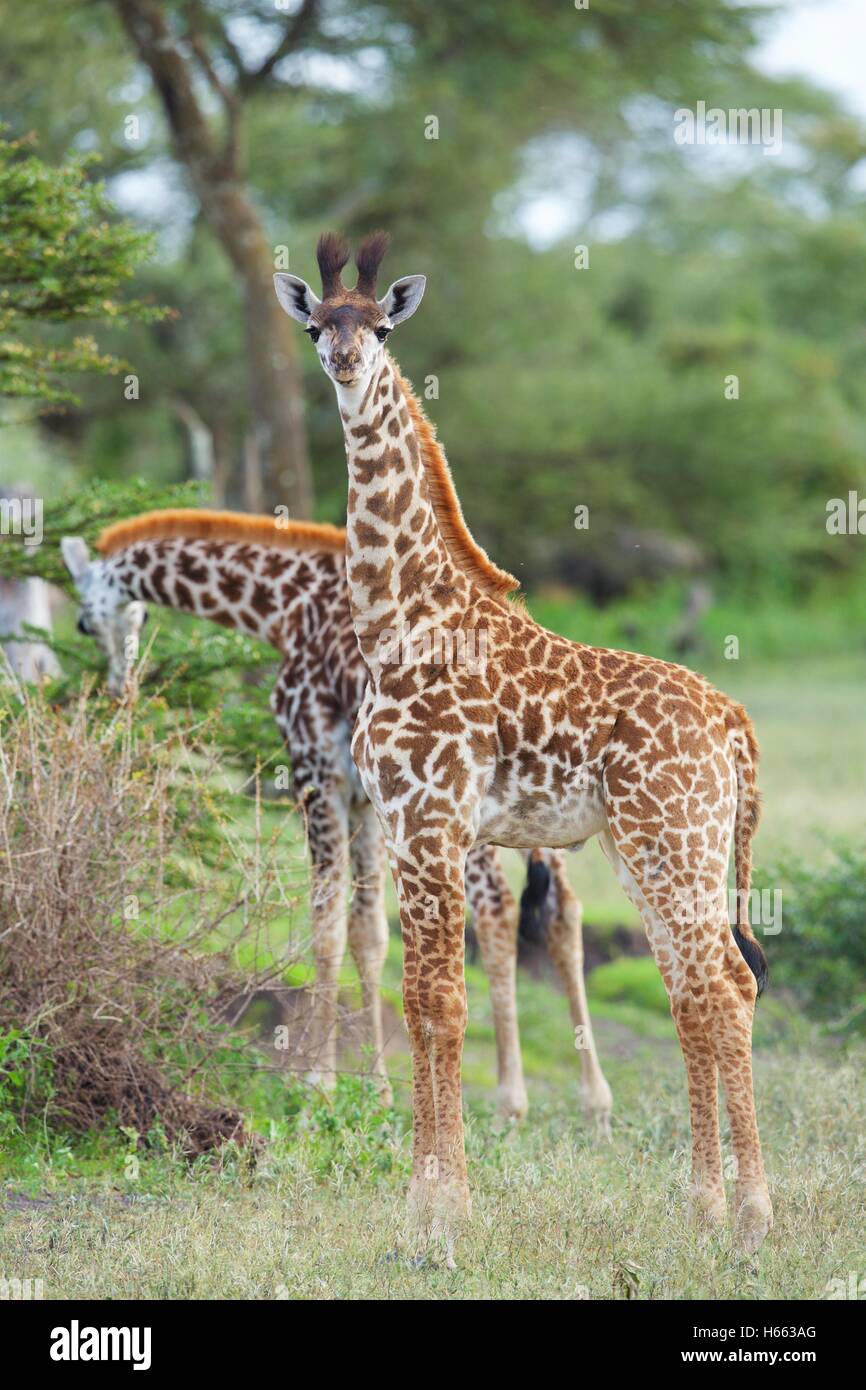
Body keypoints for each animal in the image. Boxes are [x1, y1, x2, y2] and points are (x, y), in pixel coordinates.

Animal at [61, 517, 614, 1123]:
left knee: (497, 904)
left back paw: (512, 1098)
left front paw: (317, 1085)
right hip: (543, 801)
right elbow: (369, 933)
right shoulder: (366, 799)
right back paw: (594, 1101)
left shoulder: (317, 771)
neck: (286, 607)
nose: (122, 689)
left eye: (85, 622)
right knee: (563, 907)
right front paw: (377, 1089)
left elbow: (325, 924)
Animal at [276, 236, 772, 1262]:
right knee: (693, 992)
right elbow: (420, 999)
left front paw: (442, 1213)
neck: (401, 621)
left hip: (676, 842)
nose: (344, 361)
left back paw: (751, 1218)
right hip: (649, 849)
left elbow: (442, 1001)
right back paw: (703, 1209)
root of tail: (734, 721)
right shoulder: (405, 821)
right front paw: (423, 1204)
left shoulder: (433, 820)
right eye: (316, 325)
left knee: (727, 986)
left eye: (381, 327)